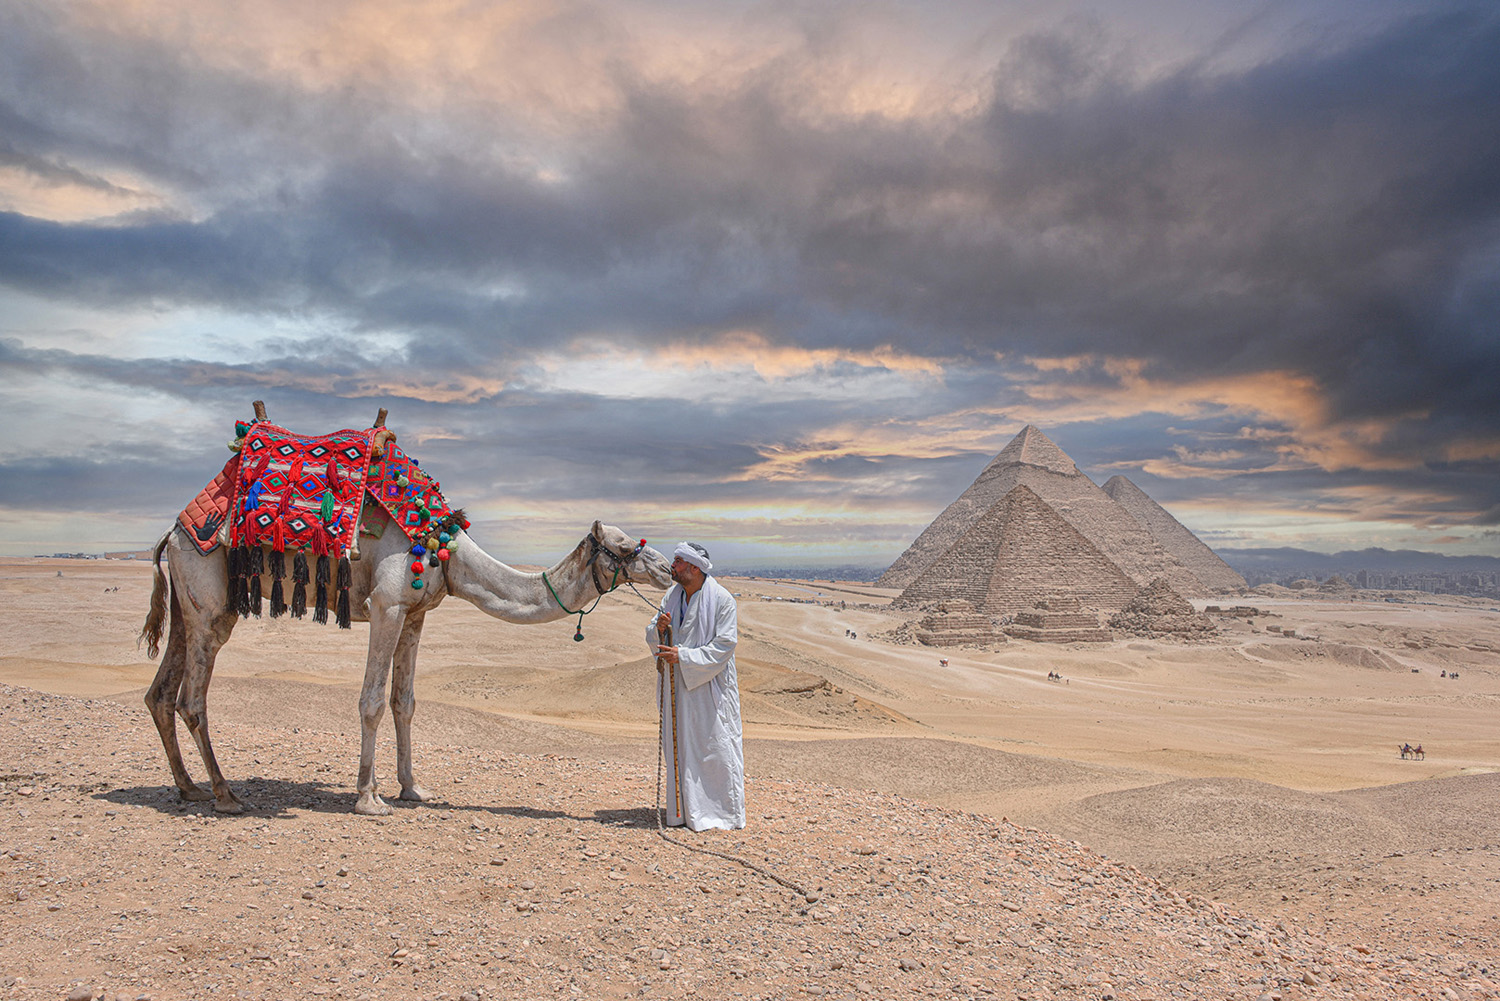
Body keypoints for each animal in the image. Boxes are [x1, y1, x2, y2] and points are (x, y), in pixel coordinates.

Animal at [140, 500, 671, 815]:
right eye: (626, 546)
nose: (667, 568)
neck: (448, 556)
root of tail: (172, 533)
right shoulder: (387, 605)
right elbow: (372, 701)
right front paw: (368, 797)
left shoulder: (416, 615)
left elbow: (405, 703)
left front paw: (412, 788)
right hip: (209, 602)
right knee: (192, 700)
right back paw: (225, 794)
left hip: (190, 605)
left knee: (160, 694)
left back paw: (188, 787)